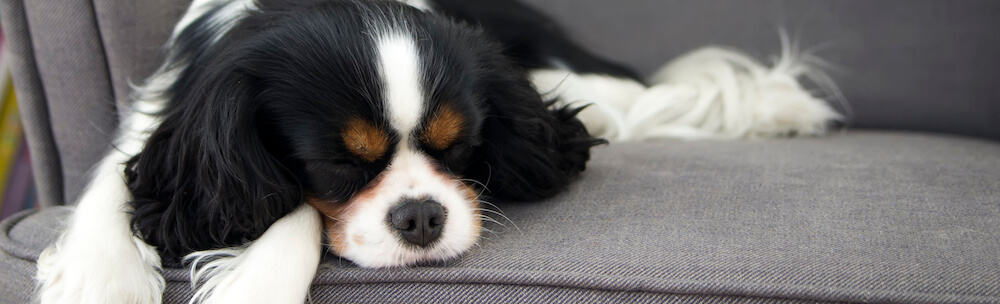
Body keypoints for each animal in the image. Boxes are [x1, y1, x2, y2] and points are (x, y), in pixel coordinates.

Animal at [37, 0, 640, 304]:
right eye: (338, 165)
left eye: (459, 147)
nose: (421, 217)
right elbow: (115, 177)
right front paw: (101, 278)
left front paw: (259, 285)